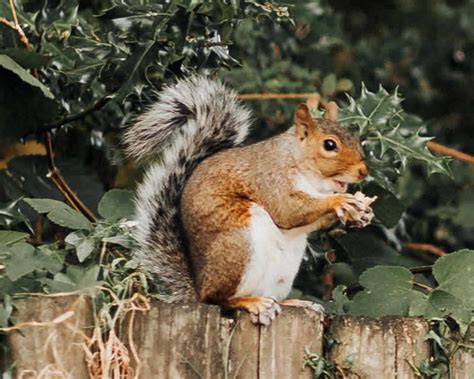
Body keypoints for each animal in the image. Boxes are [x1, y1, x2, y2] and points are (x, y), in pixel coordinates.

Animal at [124, 76, 376, 326]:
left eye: (355, 139)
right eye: (329, 145)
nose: (363, 171)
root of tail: (198, 290)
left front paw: (363, 214)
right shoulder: (269, 179)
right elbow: (287, 210)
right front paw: (340, 201)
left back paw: (293, 303)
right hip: (239, 246)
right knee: (219, 298)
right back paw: (251, 303)